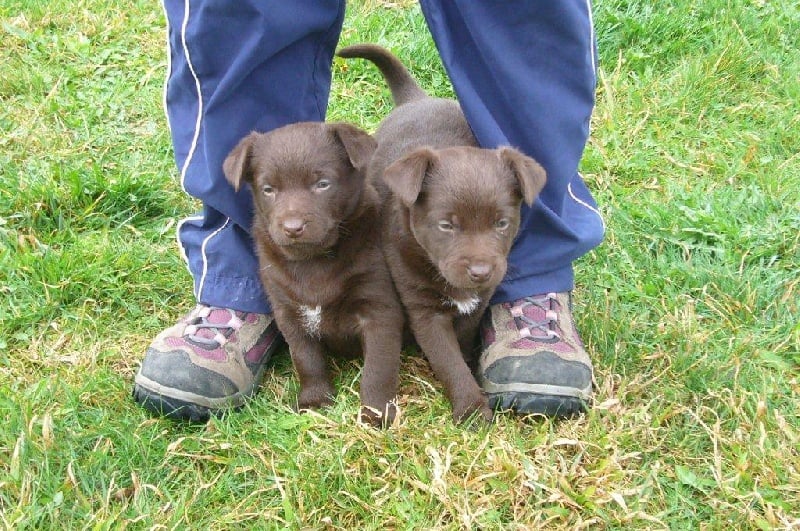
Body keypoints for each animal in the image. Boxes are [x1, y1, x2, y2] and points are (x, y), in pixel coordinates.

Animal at [223, 121, 404, 428]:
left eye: (322, 184)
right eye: (268, 189)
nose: (293, 227)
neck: (313, 262)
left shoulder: (379, 309)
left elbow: (378, 367)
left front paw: (376, 413)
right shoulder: (288, 311)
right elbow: (306, 358)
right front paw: (315, 400)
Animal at [334, 44, 548, 424]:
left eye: (502, 223)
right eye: (446, 225)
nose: (480, 272)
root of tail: (416, 99)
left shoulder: (477, 303)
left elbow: (459, 342)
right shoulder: (423, 309)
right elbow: (447, 358)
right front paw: (471, 408)